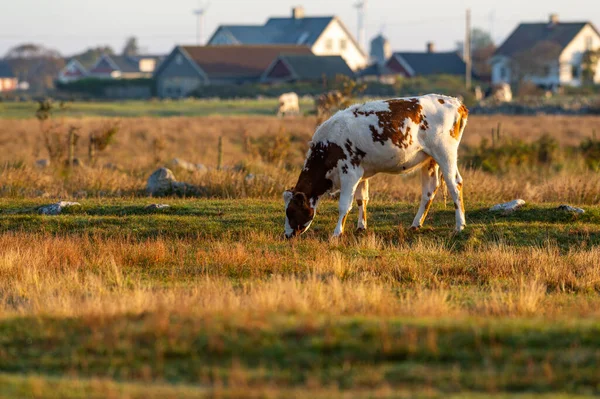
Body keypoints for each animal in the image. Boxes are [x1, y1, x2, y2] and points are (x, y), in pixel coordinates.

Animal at [282, 93, 468, 241]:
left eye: (291, 211)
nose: (286, 235)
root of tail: (455, 102)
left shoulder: (349, 172)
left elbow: (344, 205)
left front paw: (337, 233)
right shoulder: (361, 172)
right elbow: (361, 199)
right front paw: (361, 227)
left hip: (445, 153)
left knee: (455, 184)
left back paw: (459, 226)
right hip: (429, 159)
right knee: (429, 190)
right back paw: (416, 224)